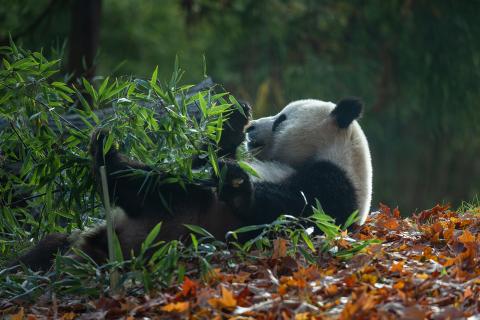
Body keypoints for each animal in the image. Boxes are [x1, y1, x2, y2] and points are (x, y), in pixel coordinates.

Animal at [10, 97, 372, 270]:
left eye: (282, 119)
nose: (254, 127)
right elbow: (203, 157)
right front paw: (233, 120)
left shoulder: (336, 186)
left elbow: (294, 209)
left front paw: (237, 184)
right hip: (93, 232)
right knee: (47, 247)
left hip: (180, 219)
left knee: (161, 189)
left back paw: (108, 157)